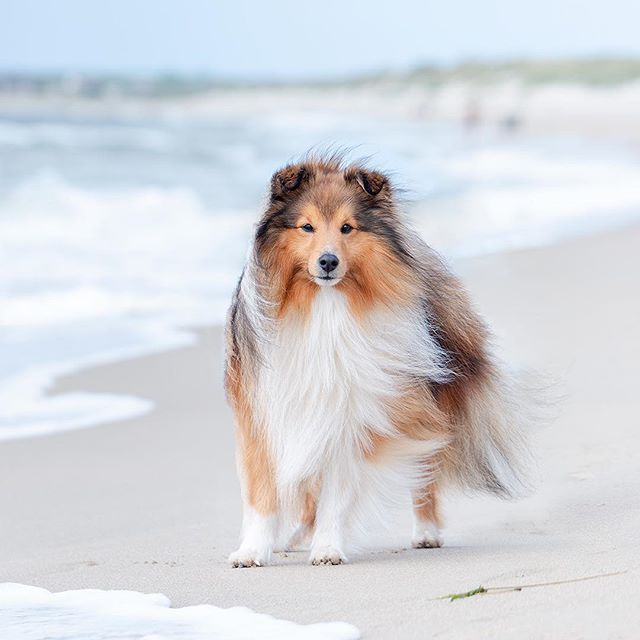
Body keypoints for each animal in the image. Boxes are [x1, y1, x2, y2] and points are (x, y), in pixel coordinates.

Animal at [222, 152, 528, 568]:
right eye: (306, 227)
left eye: (347, 228)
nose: (328, 262)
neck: (323, 306)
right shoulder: (263, 410)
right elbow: (262, 493)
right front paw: (252, 551)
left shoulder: (353, 414)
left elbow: (336, 493)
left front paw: (328, 548)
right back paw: (295, 536)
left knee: (424, 474)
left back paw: (426, 532)